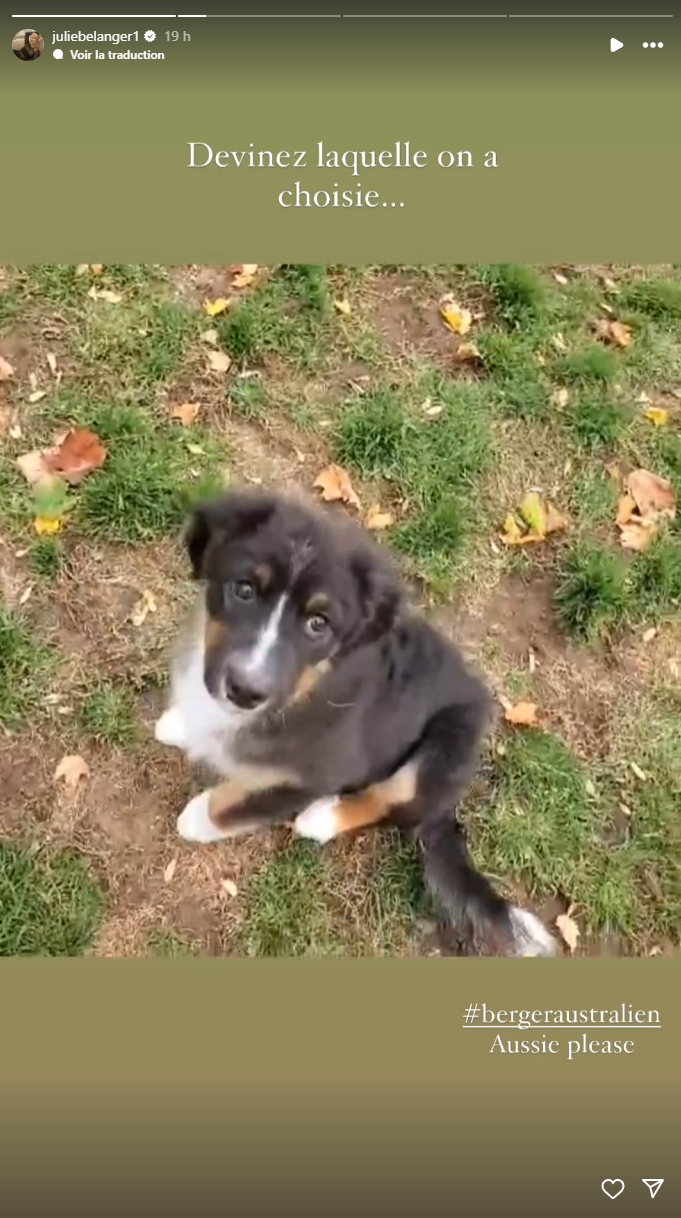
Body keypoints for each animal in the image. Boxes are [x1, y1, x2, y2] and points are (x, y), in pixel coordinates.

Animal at [157, 487, 557, 959]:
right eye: (244, 589)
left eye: (318, 623)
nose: (244, 690)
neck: (305, 688)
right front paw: (179, 723)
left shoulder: (317, 771)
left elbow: (238, 802)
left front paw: (196, 818)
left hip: (445, 746)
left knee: (393, 803)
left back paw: (322, 818)